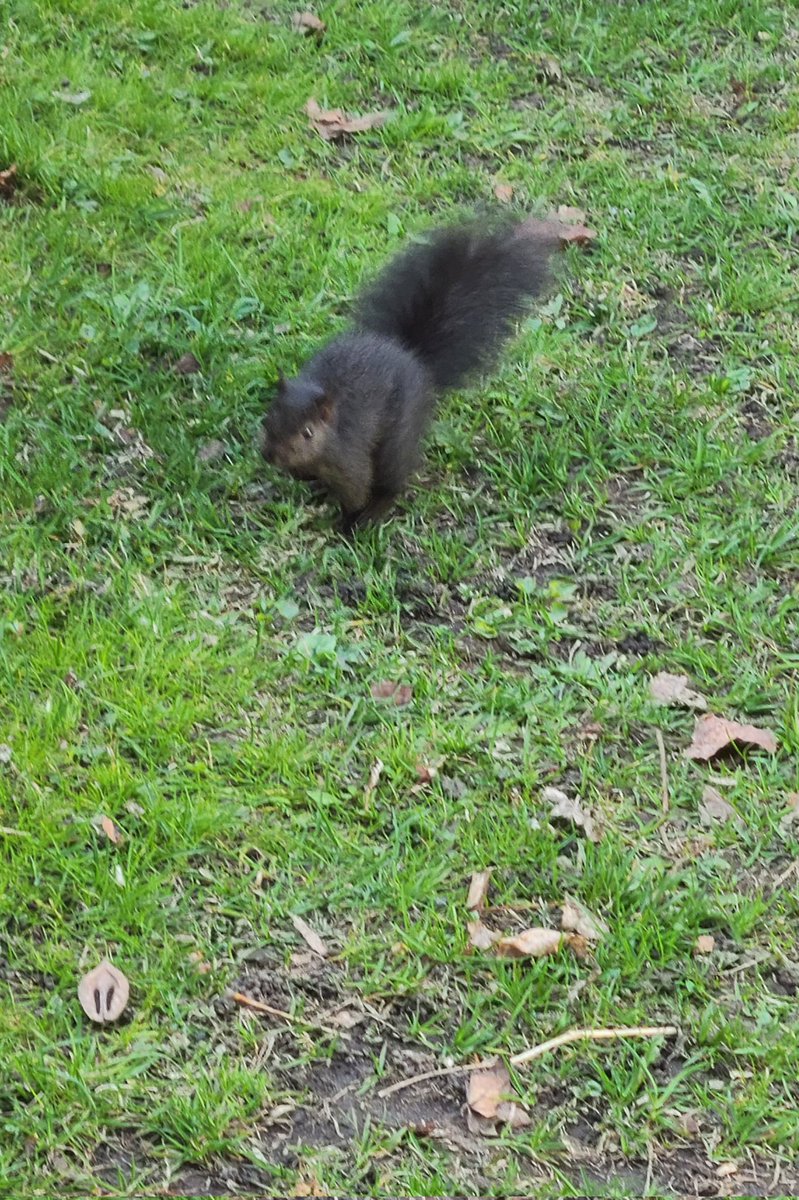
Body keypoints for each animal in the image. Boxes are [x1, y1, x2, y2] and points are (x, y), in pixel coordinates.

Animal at [260, 217, 558, 530]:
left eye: (308, 433)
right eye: (267, 418)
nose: (269, 455)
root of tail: (410, 354)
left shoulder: (349, 457)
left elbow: (357, 489)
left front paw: (350, 522)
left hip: (399, 433)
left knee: (393, 477)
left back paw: (378, 507)